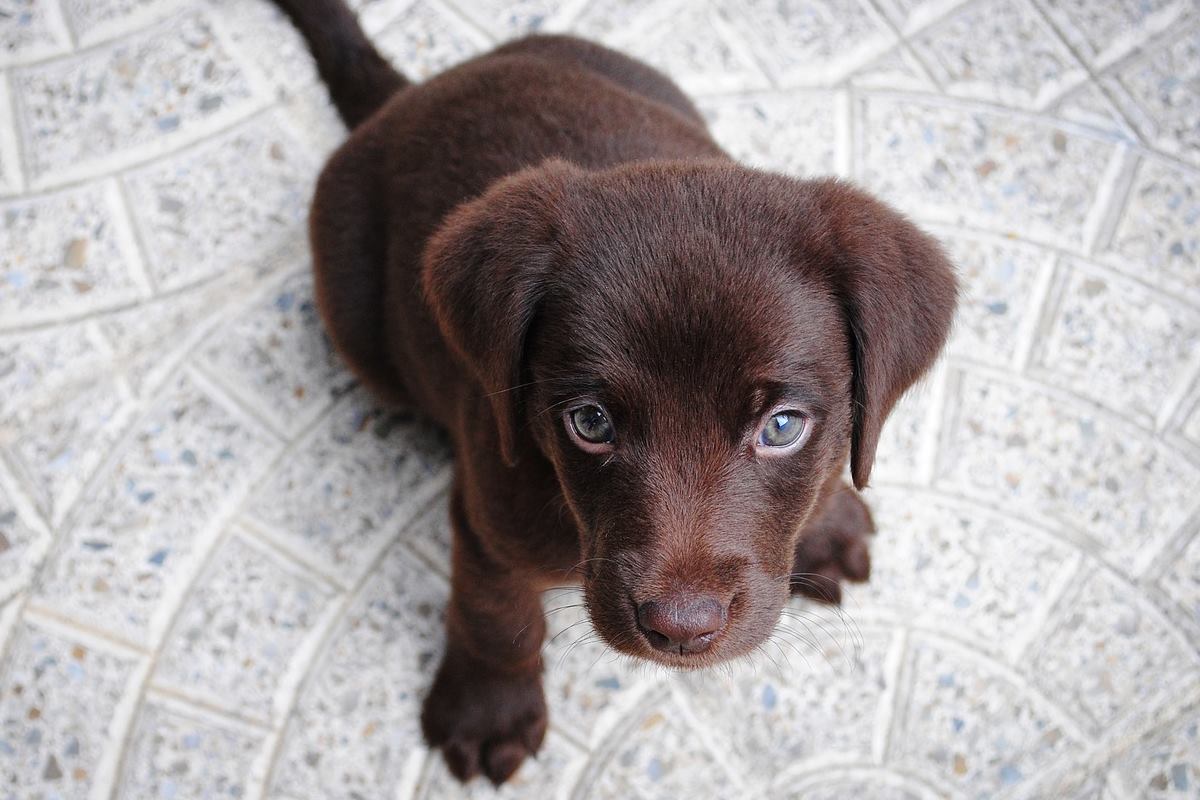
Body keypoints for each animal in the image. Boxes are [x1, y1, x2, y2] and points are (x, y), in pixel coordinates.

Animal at [276, 0, 960, 786]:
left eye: (783, 427)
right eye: (591, 422)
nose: (681, 630)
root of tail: (409, 96)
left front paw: (826, 519)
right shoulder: (488, 511)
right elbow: (496, 613)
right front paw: (488, 709)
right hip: (356, 318)